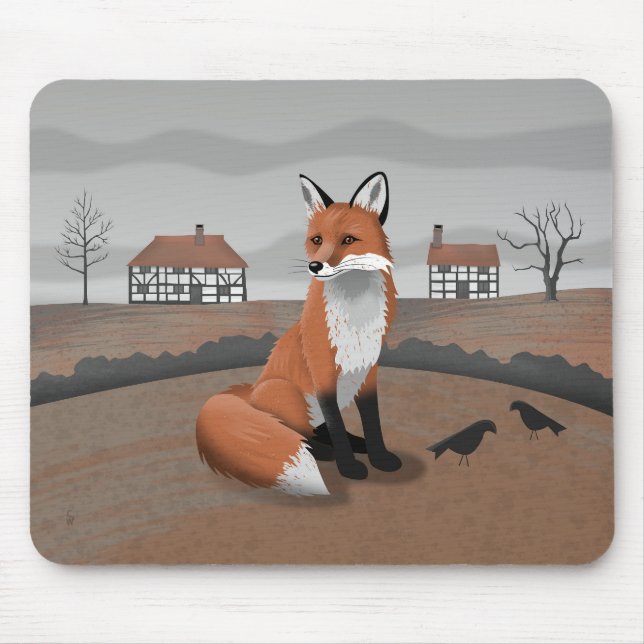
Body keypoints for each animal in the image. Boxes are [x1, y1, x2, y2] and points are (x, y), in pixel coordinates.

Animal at [196, 171, 401, 495]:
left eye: (348, 239)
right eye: (317, 240)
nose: (315, 266)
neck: (355, 317)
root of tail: (250, 393)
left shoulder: (369, 371)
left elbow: (372, 423)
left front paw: (379, 456)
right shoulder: (322, 372)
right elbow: (336, 425)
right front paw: (349, 467)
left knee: (318, 430)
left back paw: (356, 444)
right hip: (289, 394)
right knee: (298, 432)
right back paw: (326, 451)